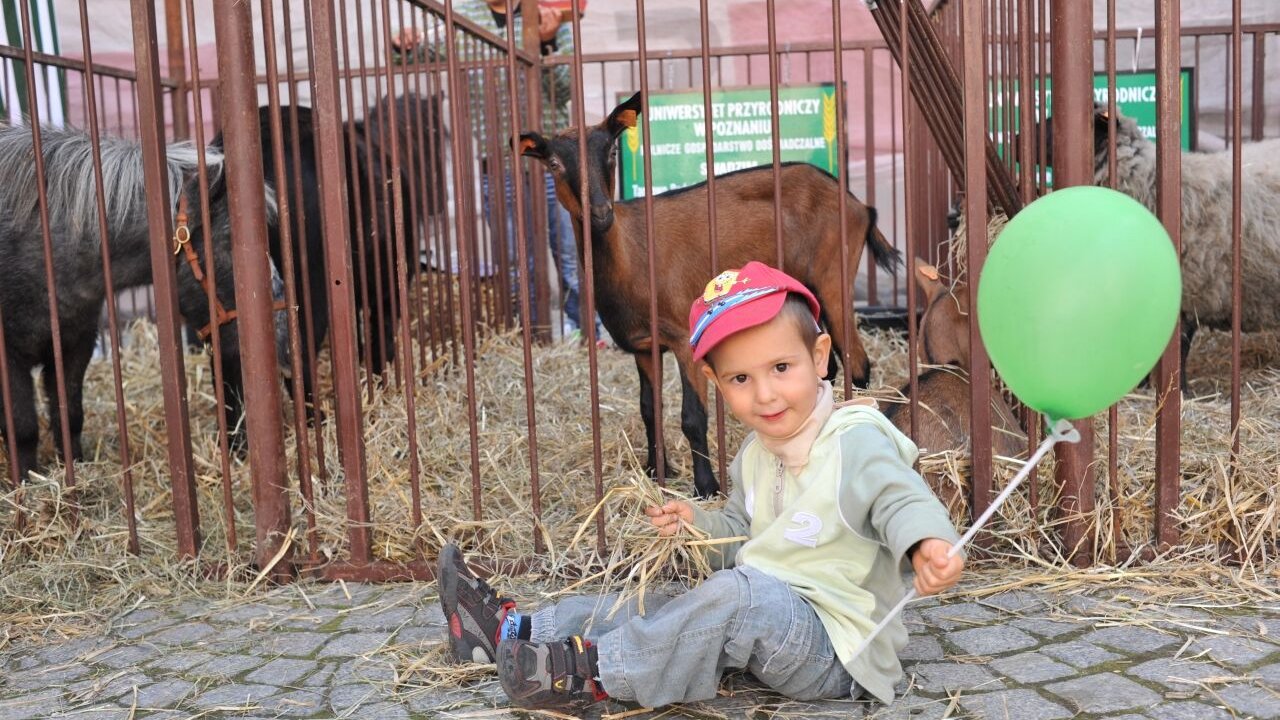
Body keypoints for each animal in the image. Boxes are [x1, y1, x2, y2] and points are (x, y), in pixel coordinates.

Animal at [514, 89, 896, 497]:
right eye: (553, 163)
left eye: (612, 151)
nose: (601, 213)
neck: (631, 255)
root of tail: (860, 206)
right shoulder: (645, 346)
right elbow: (648, 408)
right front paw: (657, 470)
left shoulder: (684, 337)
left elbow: (693, 416)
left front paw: (706, 486)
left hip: (833, 277)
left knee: (858, 363)